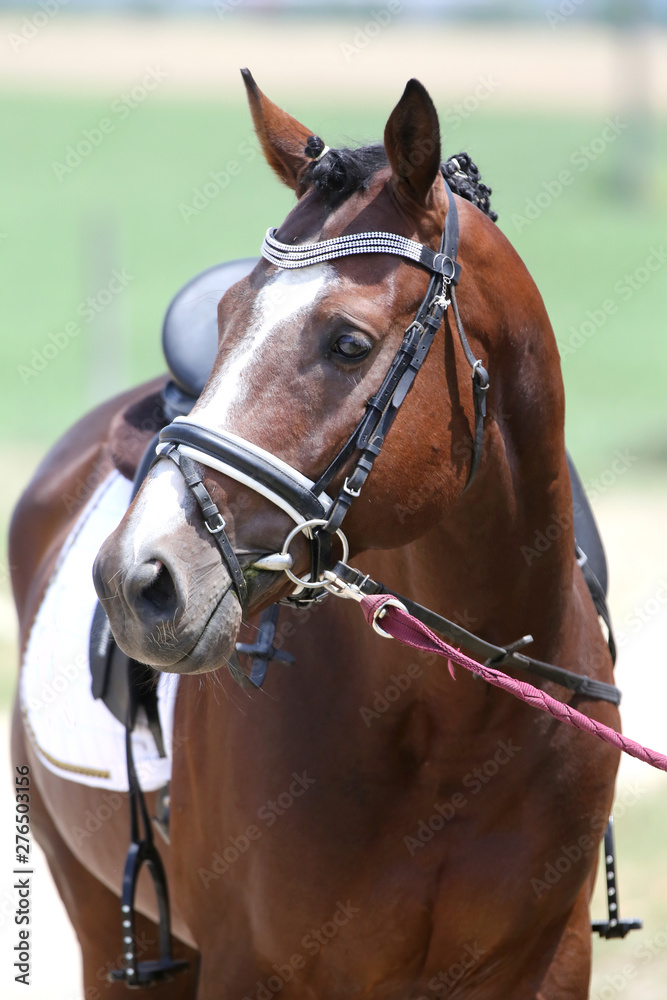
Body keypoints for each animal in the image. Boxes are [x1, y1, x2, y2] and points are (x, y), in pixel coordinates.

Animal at [10, 72, 620, 999]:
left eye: (348, 342)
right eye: (227, 317)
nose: (135, 580)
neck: (458, 714)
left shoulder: (549, 962)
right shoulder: (248, 965)